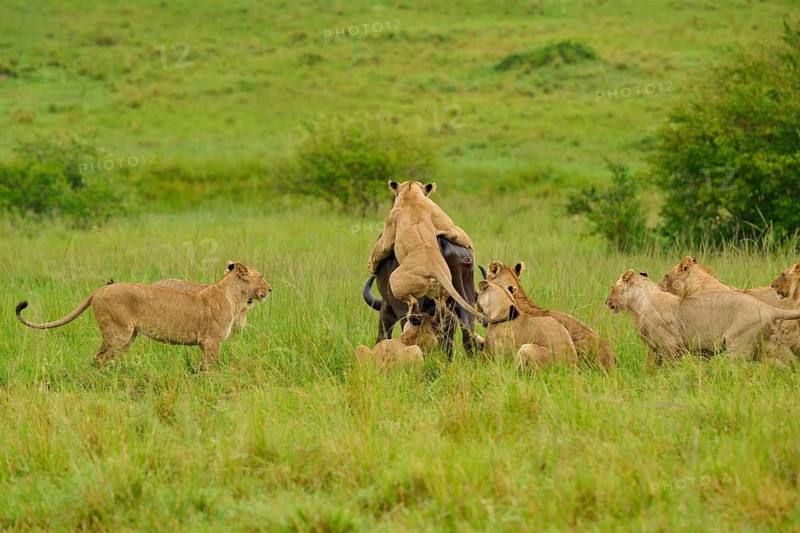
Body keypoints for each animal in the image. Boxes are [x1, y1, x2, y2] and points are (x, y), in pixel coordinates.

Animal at [15, 262, 270, 369]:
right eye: (261, 276)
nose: (270, 289)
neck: (235, 297)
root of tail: (99, 290)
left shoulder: (204, 343)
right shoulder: (211, 341)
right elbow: (215, 366)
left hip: (126, 337)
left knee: (101, 357)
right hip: (119, 333)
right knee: (100, 358)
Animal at [367, 180, 486, 326]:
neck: (411, 195)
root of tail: (434, 267)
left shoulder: (390, 224)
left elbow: (380, 248)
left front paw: (371, 267)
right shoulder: (442, 219)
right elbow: (460, 234)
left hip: (395, 281)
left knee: (412, 303)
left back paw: (414, 317)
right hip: (443, 289)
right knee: (444, 309)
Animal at [608, 268, 800, 366]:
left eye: (611, 288)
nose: (606, 301)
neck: (639, 303)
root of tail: (769, 308)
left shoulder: (670, 346)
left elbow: (670, 369)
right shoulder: (655, 349)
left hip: (739, 346)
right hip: (769, 346)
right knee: (786, 363)